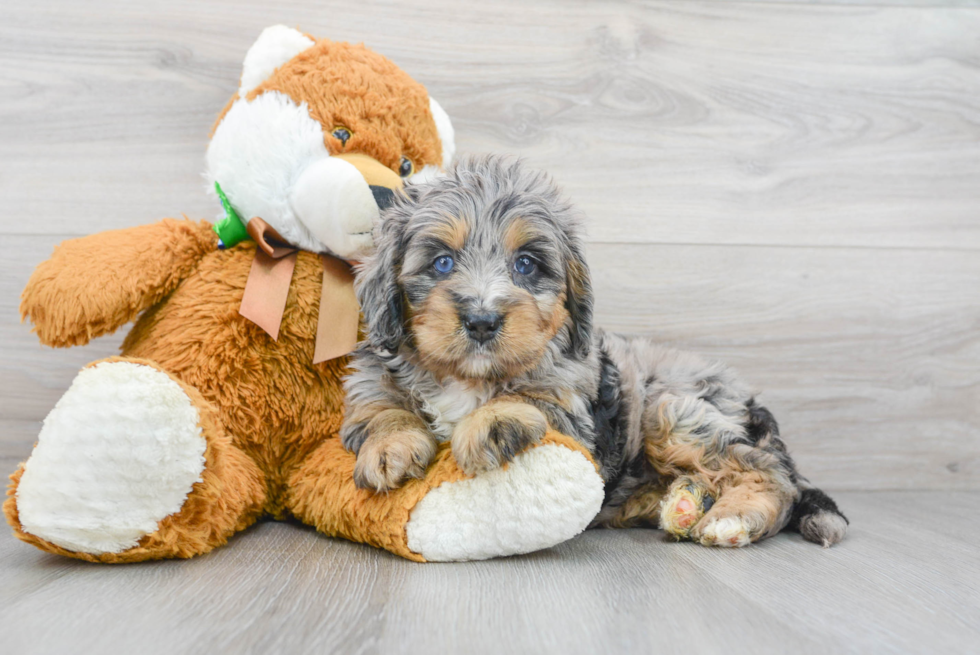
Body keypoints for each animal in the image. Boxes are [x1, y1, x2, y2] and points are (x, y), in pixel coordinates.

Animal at [340, 155, 848, 548]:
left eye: (526, 264)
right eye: (442, 262)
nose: (482, 321)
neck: (468, 377)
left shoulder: (574, 408)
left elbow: (531, 396)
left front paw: (490, 422)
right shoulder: (369, 383)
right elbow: (382, 410)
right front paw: (390, 447)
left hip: (674, 412)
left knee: (767, 474)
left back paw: (730, 517)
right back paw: (678, 503)